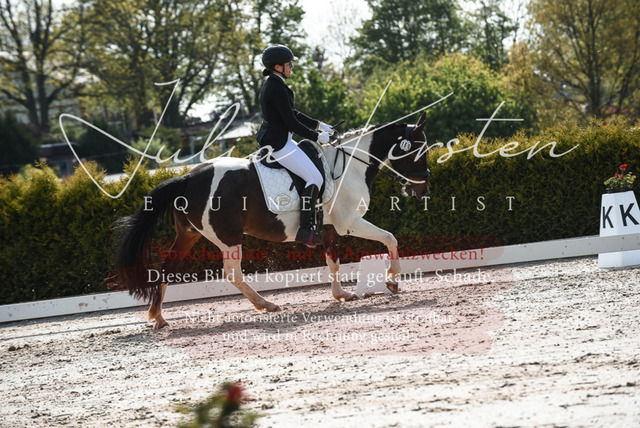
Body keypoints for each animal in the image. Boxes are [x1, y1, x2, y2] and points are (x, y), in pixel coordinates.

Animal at [108, 112, 429, 329]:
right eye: (420, 150)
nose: (422, 189)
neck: (348, 165)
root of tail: (187, 177)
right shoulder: (349, 222)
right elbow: (390, 238)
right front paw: (392, 281)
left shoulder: (327, 226)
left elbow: (333, 260)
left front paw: (341, 295)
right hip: (228, 237)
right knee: (232, 274)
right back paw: (266, 304)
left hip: (188, 235)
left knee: (167, 268)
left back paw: (158, 317)